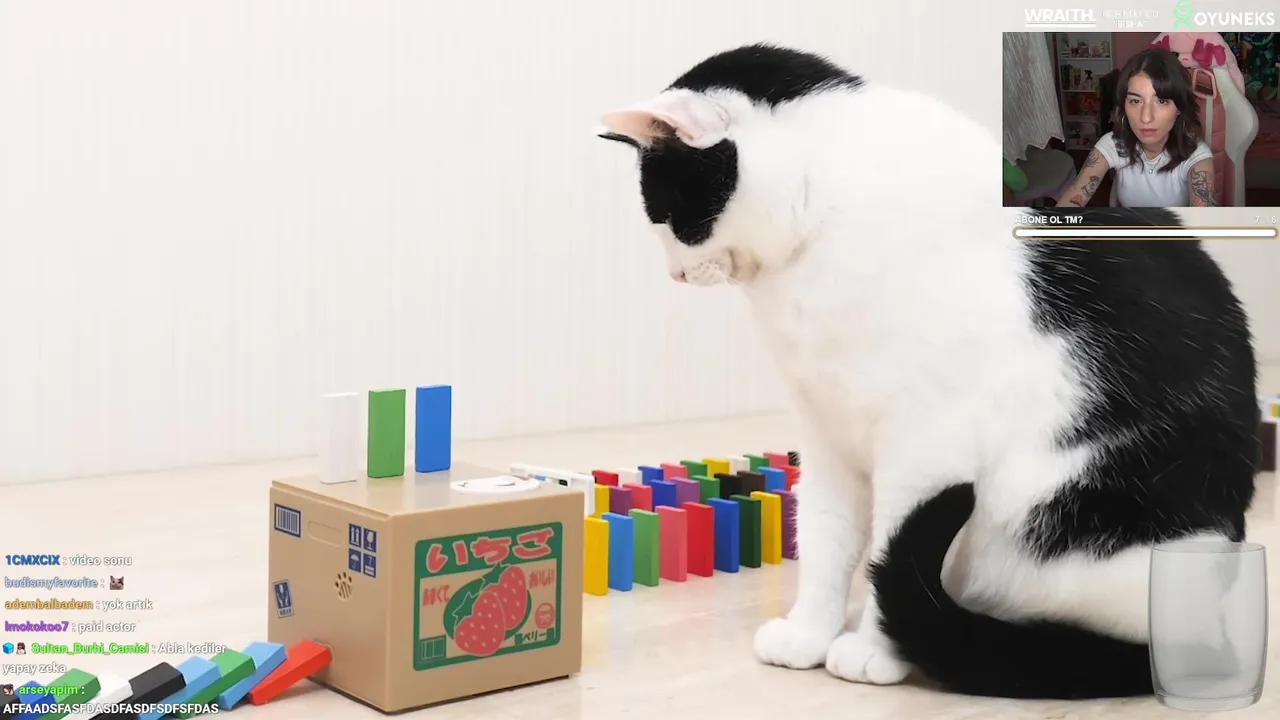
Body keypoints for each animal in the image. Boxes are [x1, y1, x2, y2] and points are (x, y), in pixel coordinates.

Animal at [596, 43, 1259, 698]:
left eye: (671, 215)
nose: (676, 275)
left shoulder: (923, 443)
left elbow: (889, 544)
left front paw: (871, 651)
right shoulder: (825, 430)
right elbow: (826, 537)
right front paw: (810, 635)